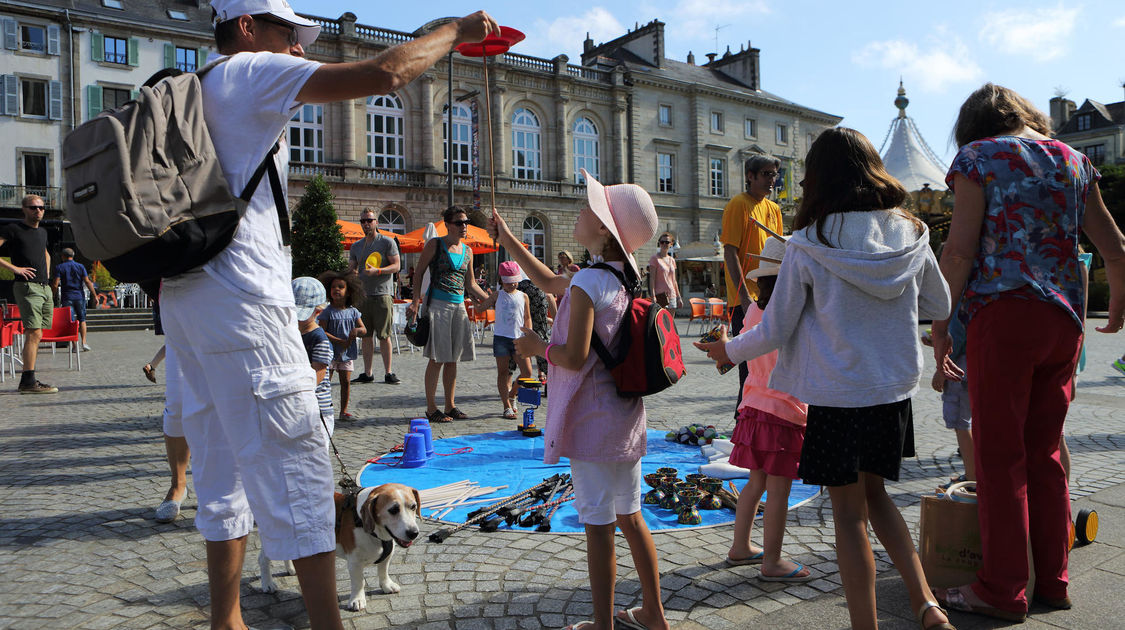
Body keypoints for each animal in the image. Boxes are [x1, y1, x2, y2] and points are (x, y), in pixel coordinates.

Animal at [258, 481, 423, 612]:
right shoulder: (354, 562)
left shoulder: (388, 554)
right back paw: (267, 583)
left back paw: (291, 568)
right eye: (393, 510)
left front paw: (386, 585)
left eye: (413, 506)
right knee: (263, 559)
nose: (413, 533)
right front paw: (357, 600)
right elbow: (358, 581)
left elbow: (383, 571)